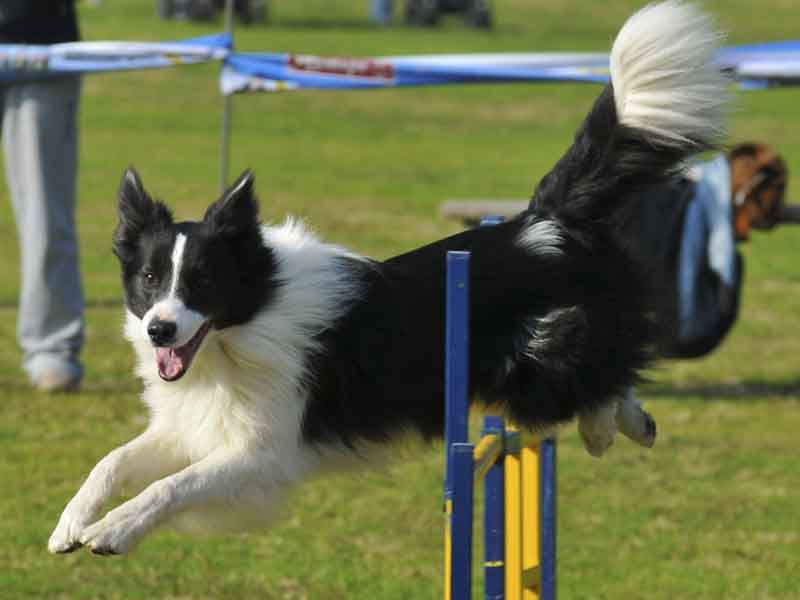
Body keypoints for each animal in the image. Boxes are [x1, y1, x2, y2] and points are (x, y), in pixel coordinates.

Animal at [47, 0, 728, 556]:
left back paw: (605, 425)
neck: (247, 324)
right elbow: (113, 461)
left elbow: (171, 487)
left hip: (536, 356)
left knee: (599, 373)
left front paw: (113, 531)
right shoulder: (202, 425)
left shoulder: (263, 452)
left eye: (203, 282)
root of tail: (544, 218)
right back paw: (626, 425)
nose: (160, 331)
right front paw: (70, 524)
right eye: (149, 278)